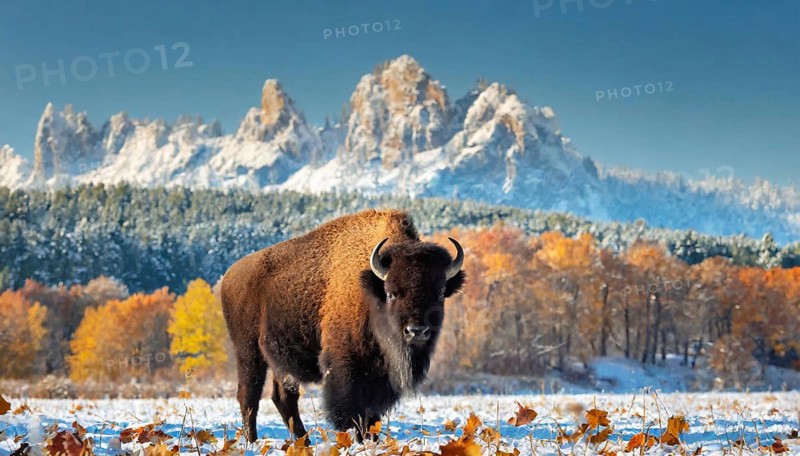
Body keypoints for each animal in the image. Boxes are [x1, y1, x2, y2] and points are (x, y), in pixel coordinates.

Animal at [220, 209, 465, 442]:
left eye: (440, 293)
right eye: (391, 293)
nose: (416, 331)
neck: (370, 290)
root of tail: (229, 276)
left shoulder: (381, 377)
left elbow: (371, 414)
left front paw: (372, 440)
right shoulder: (345, 366)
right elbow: (349, 410)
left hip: (279, 362)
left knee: (283, 397)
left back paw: (305, 443)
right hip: (248, 353)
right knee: (249, 396)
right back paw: (252, 441)